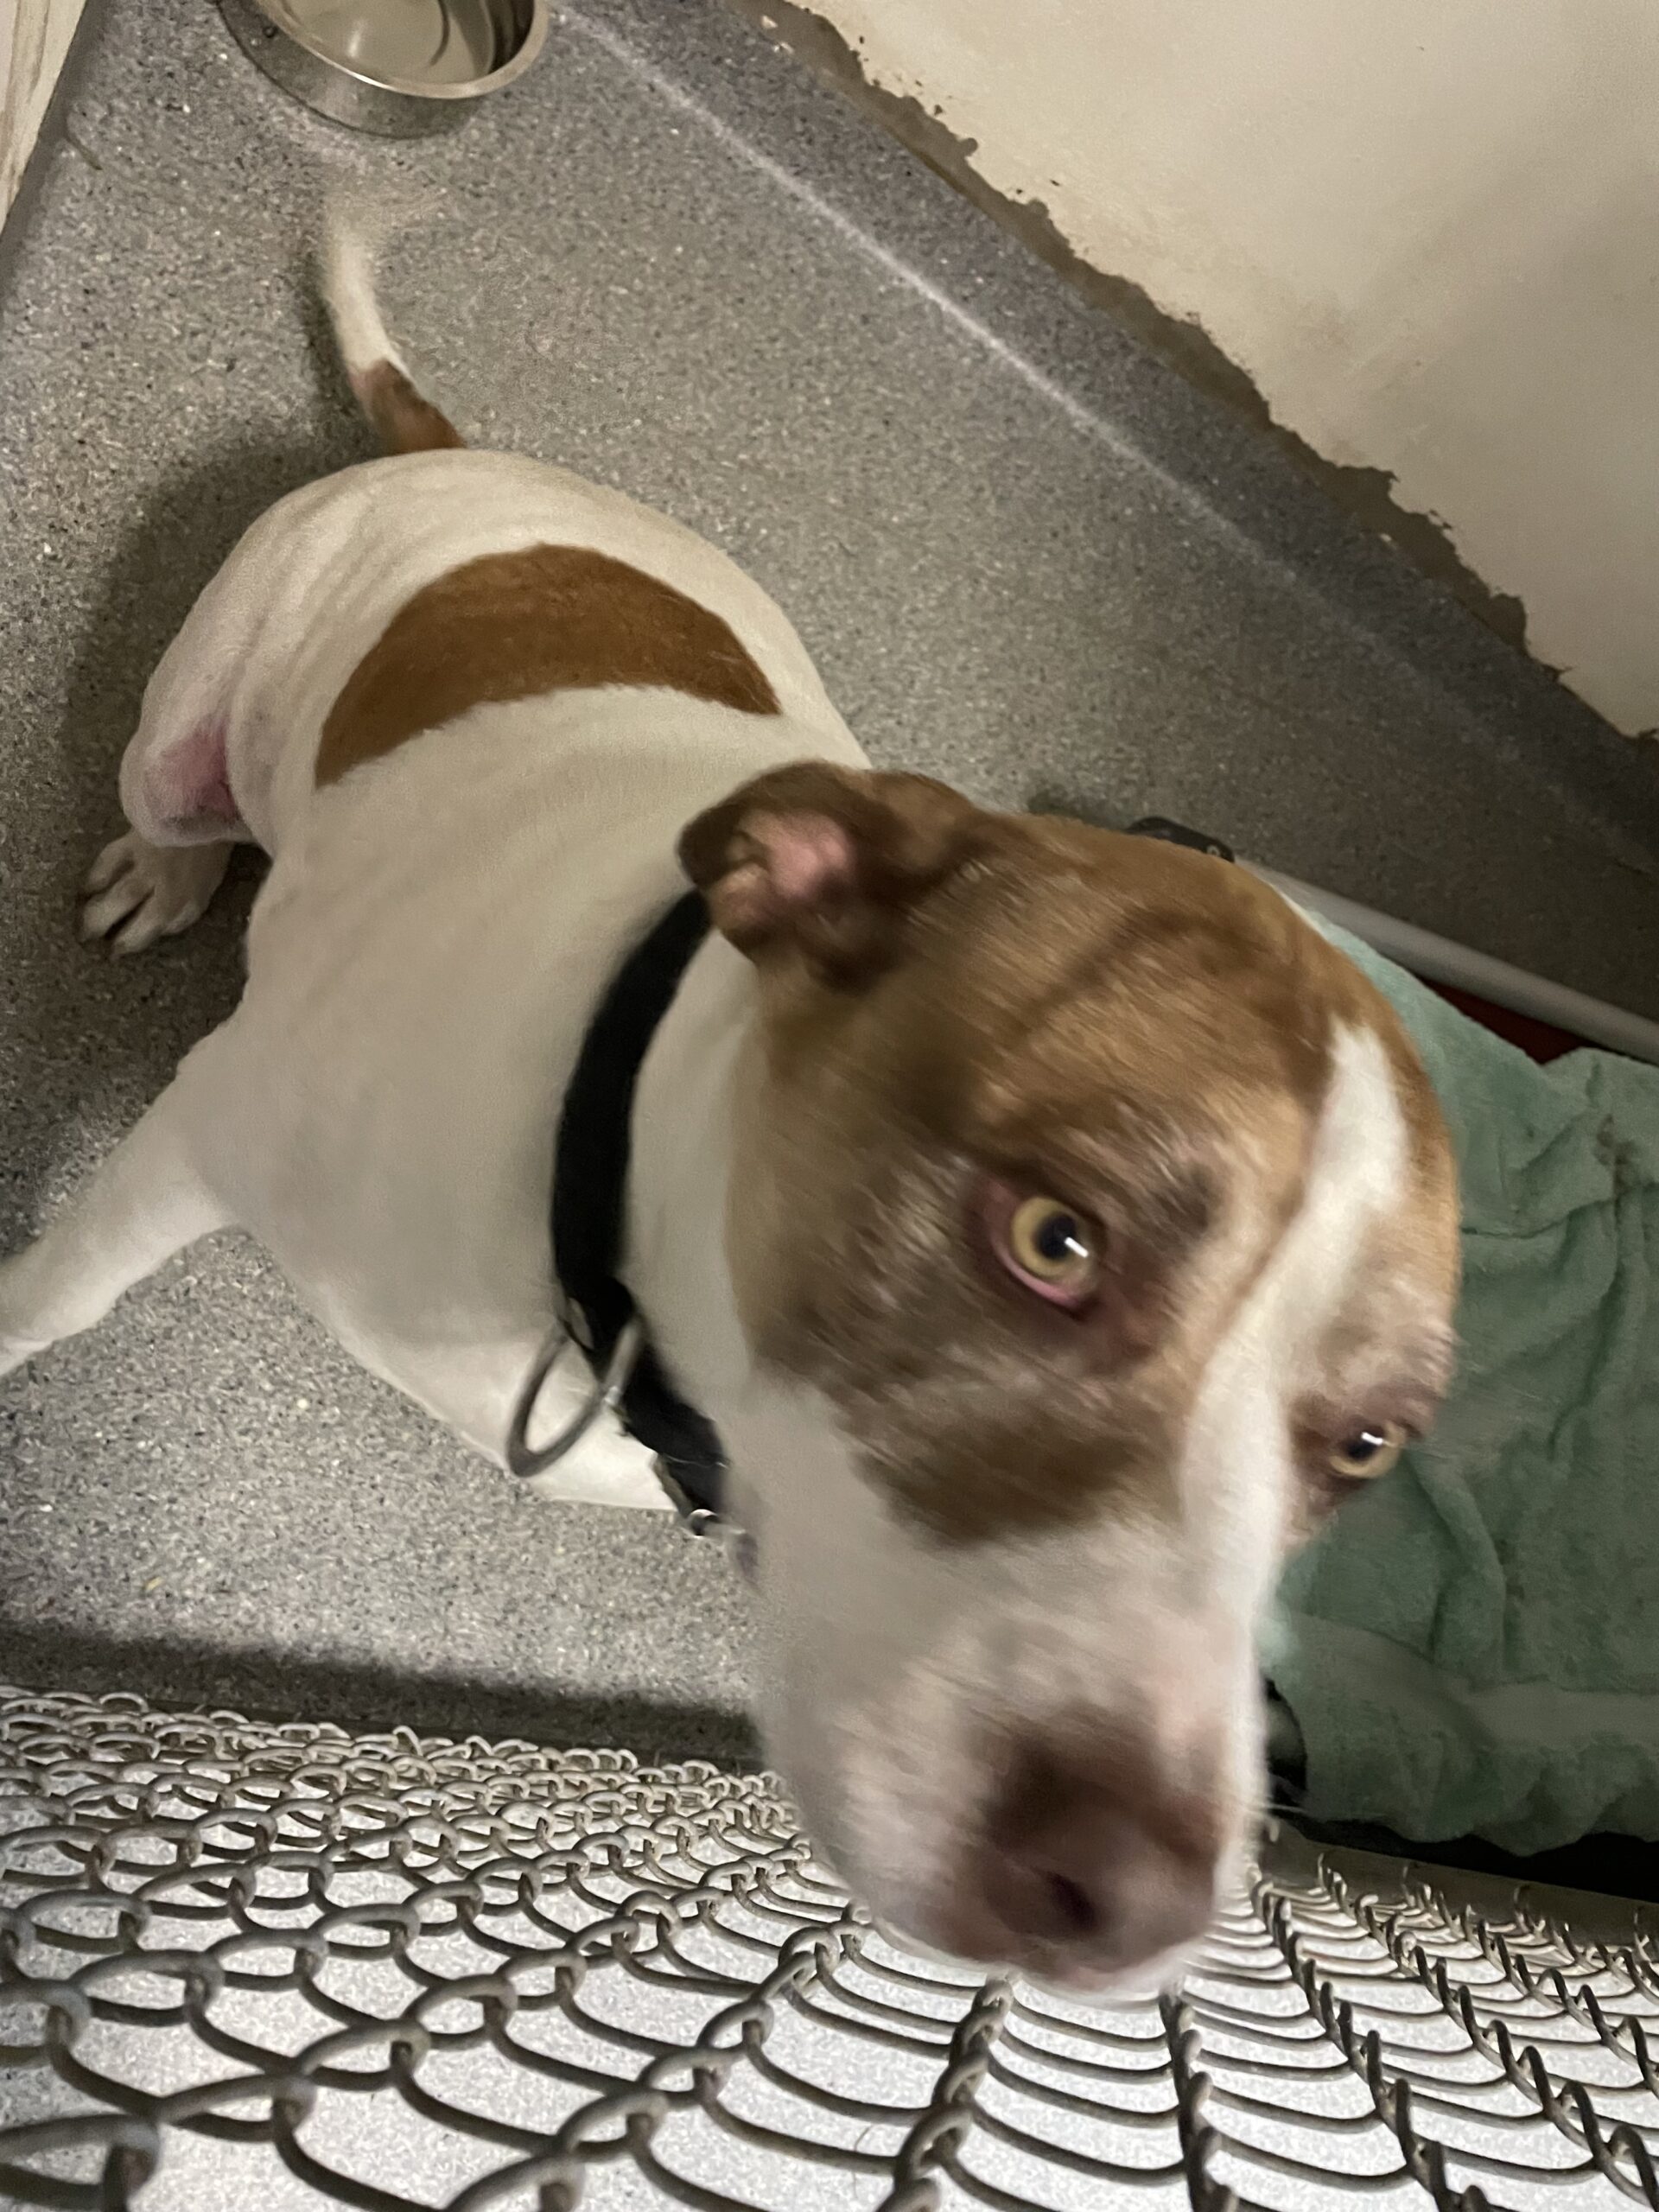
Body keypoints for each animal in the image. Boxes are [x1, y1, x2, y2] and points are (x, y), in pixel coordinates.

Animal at [0, 227, 1460, 1990]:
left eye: (1367, 1443)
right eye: (1055, 1239)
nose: (1140, 1899)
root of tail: (464, 456)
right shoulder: (198, 1136)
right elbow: (54, 1295)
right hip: (191, 711)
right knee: (179, 796)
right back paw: (166, 866)